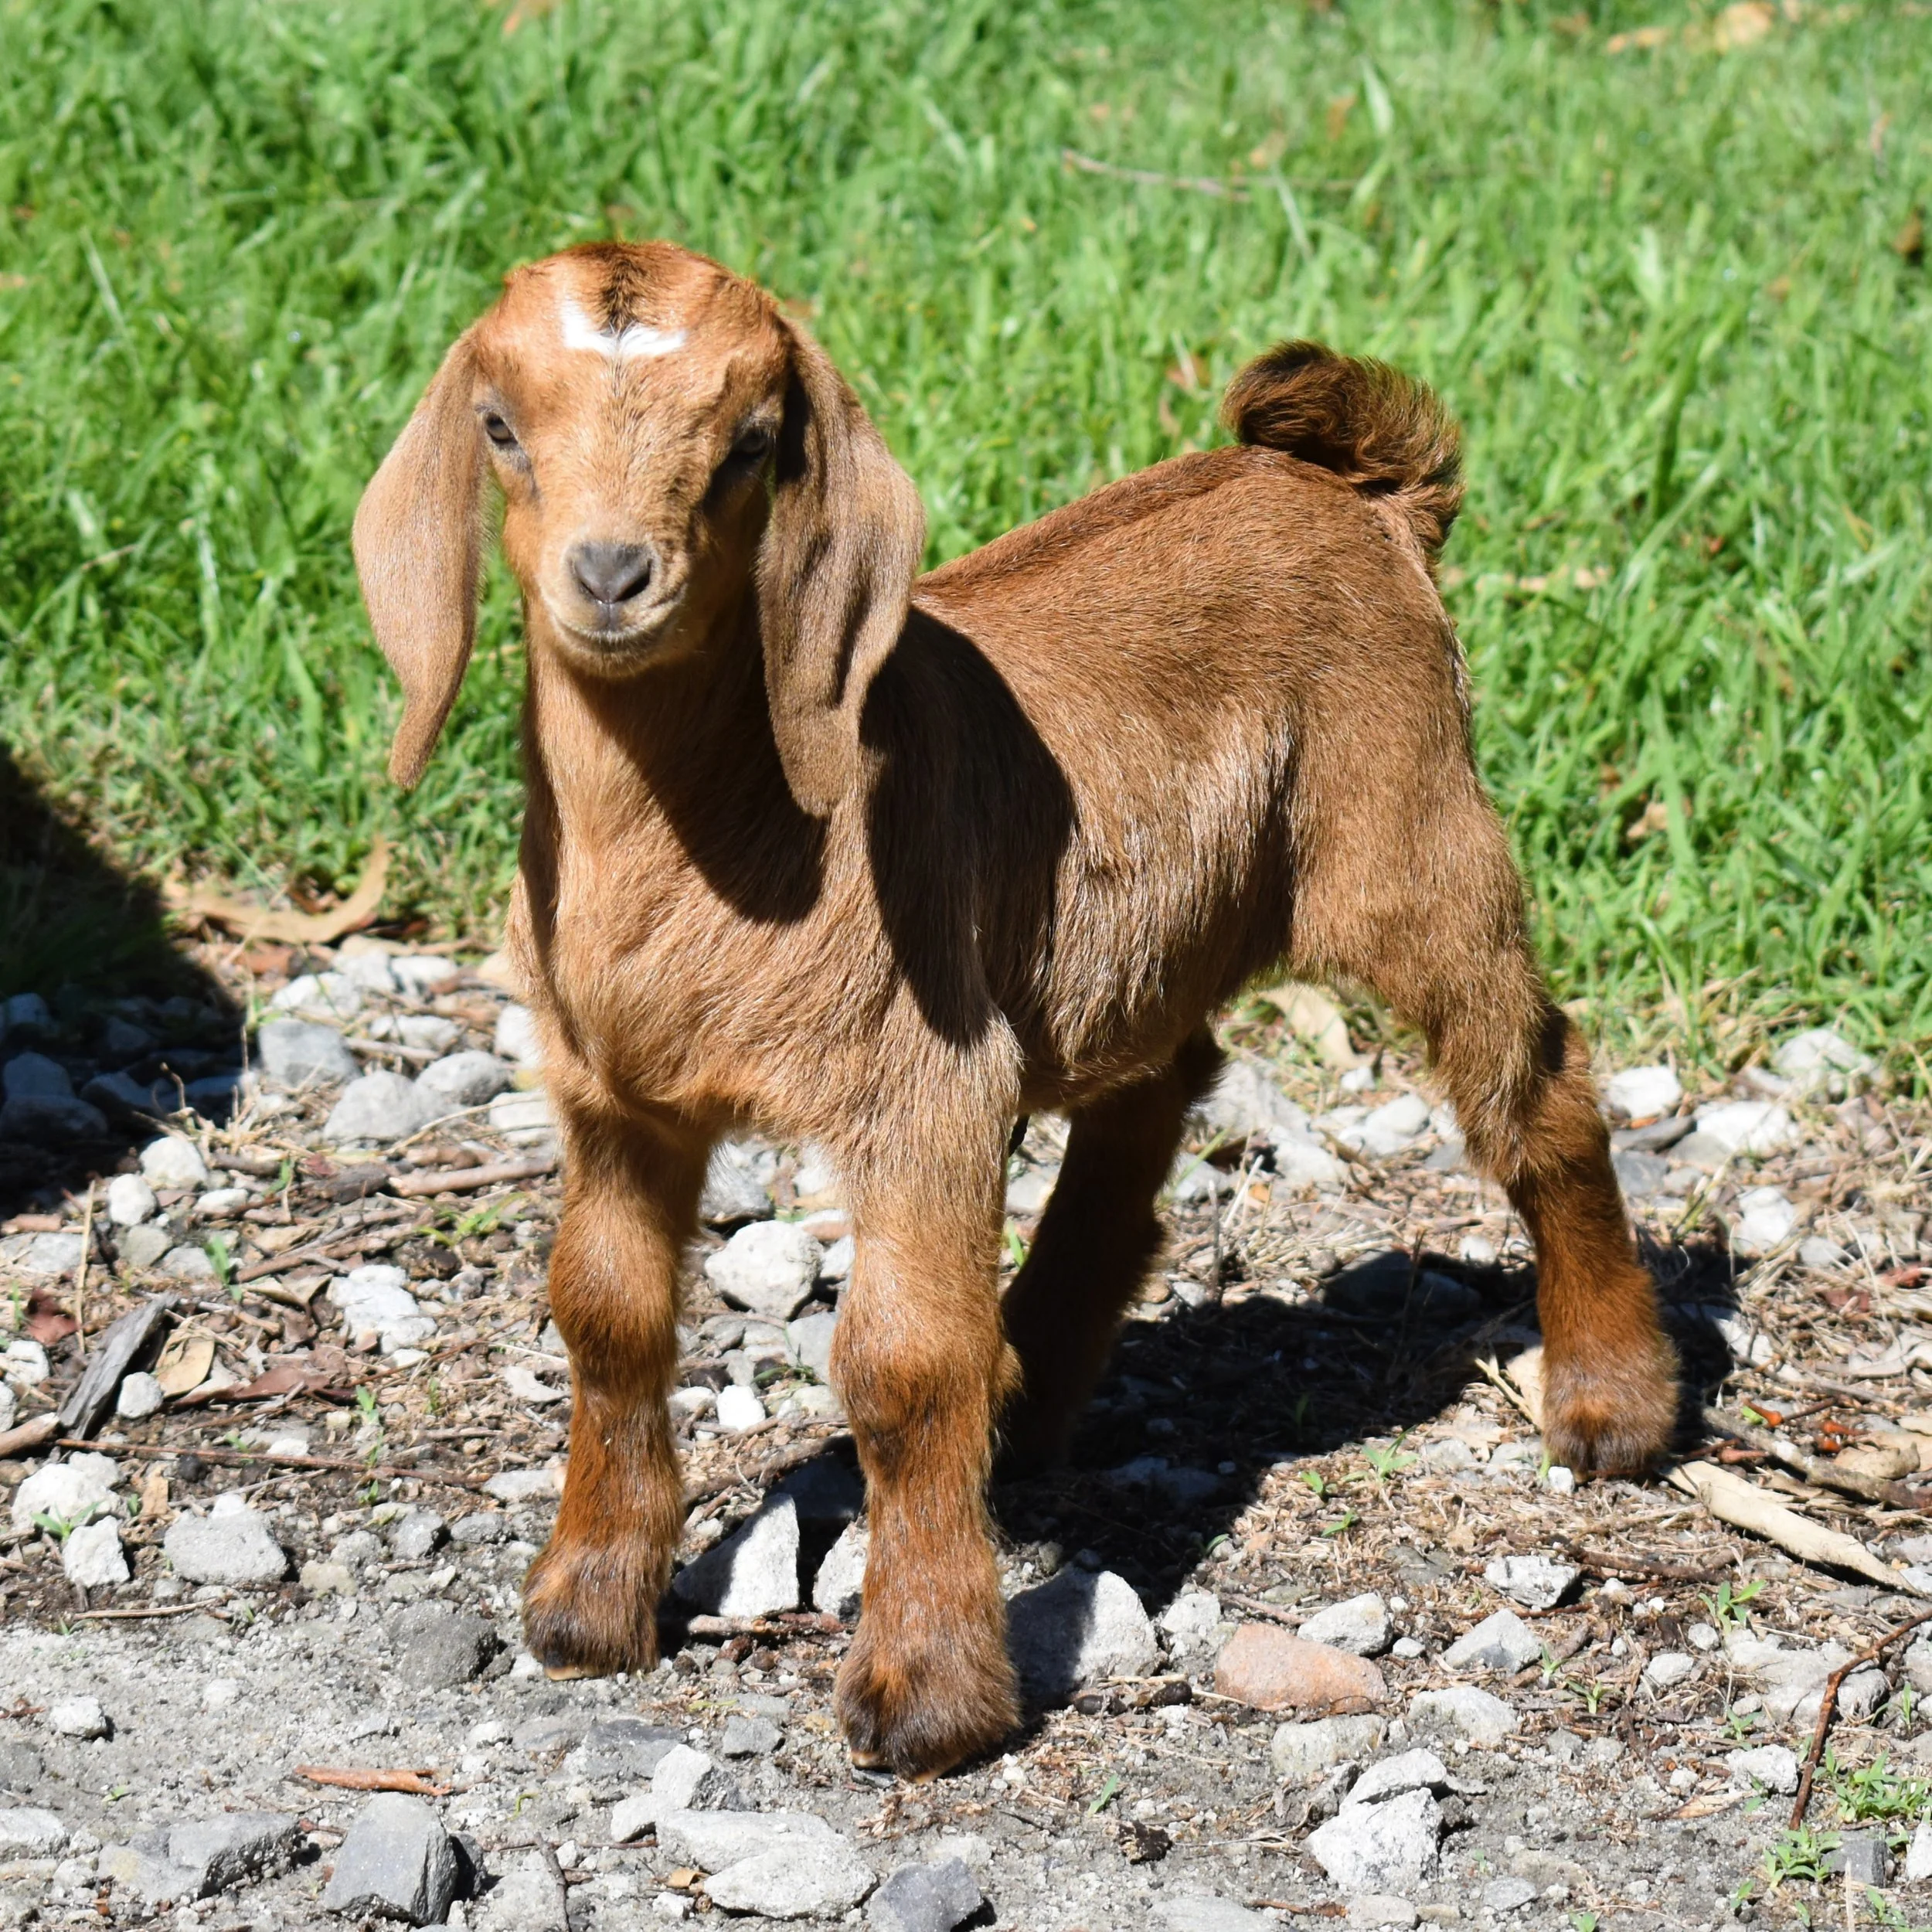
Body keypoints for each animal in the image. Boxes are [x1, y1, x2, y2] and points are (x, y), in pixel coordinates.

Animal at [353, 240, 1677, 1778]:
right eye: (501, 428)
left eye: (750, 443)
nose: (614, 574)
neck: (730, 833)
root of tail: (1356, 490)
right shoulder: (608, 1093)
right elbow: (605, 1313)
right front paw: (582, 1608)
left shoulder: (925, 1080)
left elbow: (901, 1363)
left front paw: (927, 1694)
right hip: (1153, 929)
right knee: (1157, 1091)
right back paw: (1033, 1393)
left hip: (1410, 838)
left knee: (1538, 1083)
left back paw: (1613, 1405)